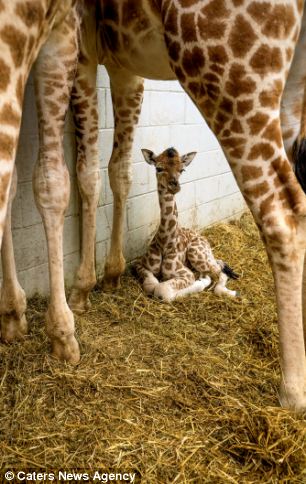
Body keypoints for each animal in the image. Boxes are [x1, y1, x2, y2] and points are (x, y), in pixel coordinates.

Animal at [134, 147, 239, 302]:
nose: (175, 186)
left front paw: (201, 282)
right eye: (158, 168)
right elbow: (151, 285)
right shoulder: (139, 264)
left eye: (182, 170)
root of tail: (203, 238)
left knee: (219, 272)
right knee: (219, 264)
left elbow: (162, 289)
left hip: (196, 253)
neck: (164, 242)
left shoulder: (185, 273)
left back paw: (228, 291)